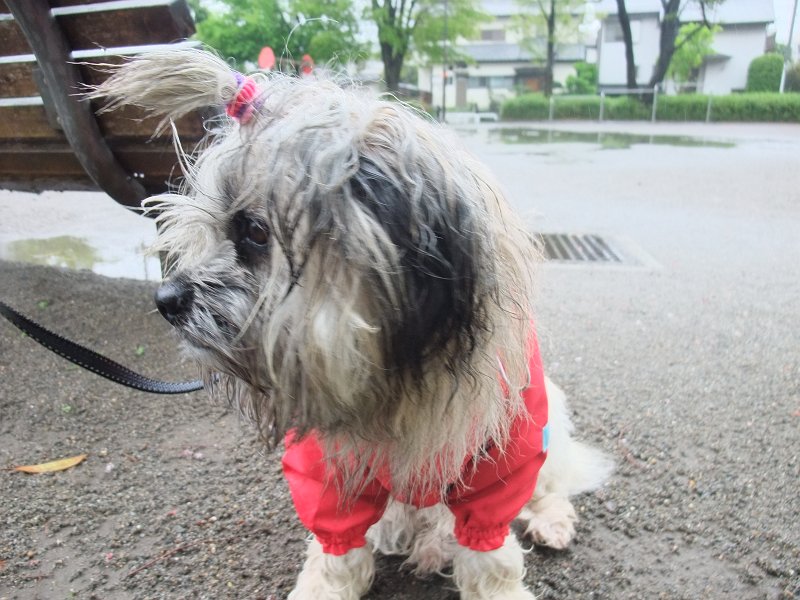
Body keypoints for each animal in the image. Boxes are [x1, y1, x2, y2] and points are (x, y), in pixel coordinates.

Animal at [94, 49, 612, 599]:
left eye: (254, 231)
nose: (166, 299)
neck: (395, 369)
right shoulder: (326, 467)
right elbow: (336, 546)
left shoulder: (502, 454)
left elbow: (489, 548)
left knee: (549, 485)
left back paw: (545, 520)